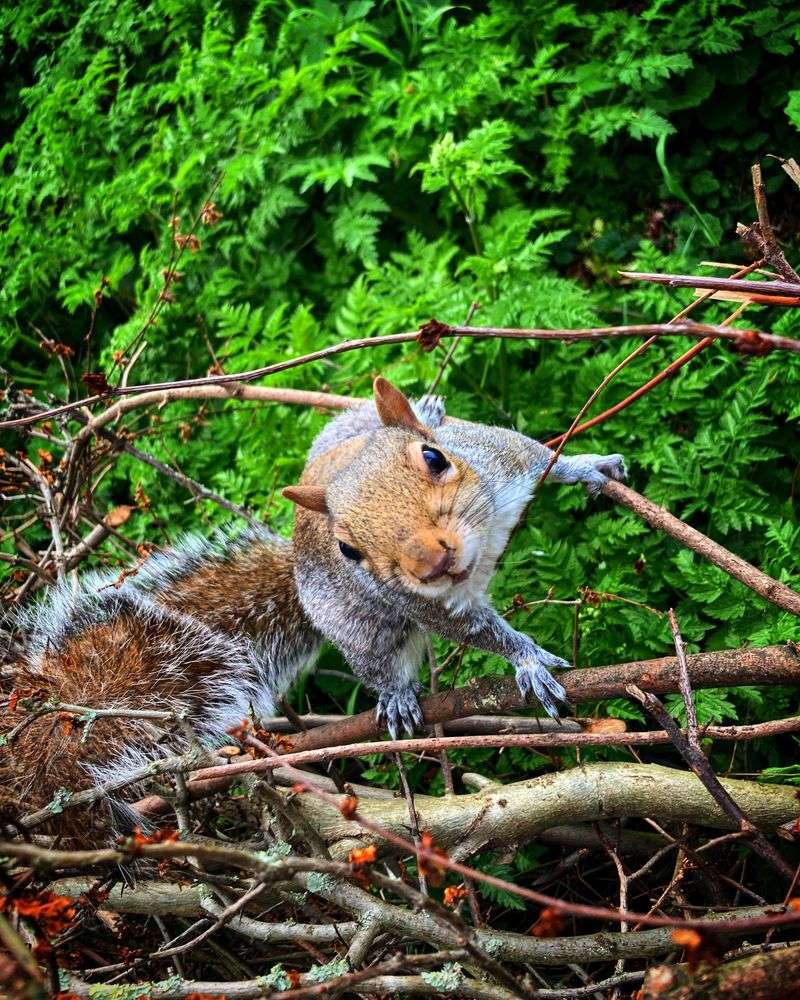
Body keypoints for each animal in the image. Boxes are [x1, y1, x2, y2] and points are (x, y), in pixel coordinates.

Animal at [1, 378, 624, 832]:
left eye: (435, 458)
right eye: (348, 549)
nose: (430, 561)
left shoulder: (501, 458)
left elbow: (540, 454)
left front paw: (588, 466)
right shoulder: (432, 605)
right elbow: (477, 630)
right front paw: (526, 659)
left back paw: (425, 403)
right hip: (359, 625)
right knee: (378, 660)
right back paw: (397, 696)